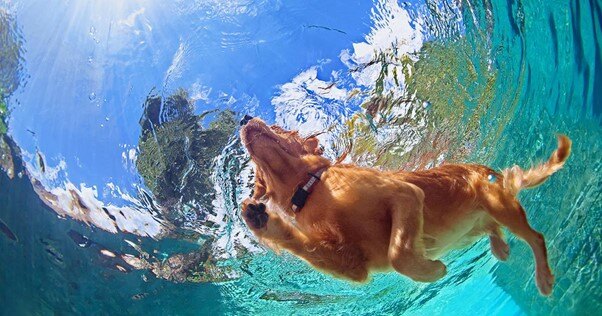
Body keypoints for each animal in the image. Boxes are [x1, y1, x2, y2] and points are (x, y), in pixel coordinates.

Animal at [238, 116, 568, 296]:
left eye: (280, 127)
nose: (244, 118)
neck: (312, 188)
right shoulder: (353, 264)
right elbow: (309, 247)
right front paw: (259, 219)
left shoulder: (405, 194)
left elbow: (398, 253)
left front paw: (431, 270)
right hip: (483, 221)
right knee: (494, 229)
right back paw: (500, 247)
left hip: (499, 204)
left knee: (536, 237)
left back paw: (543, 277)